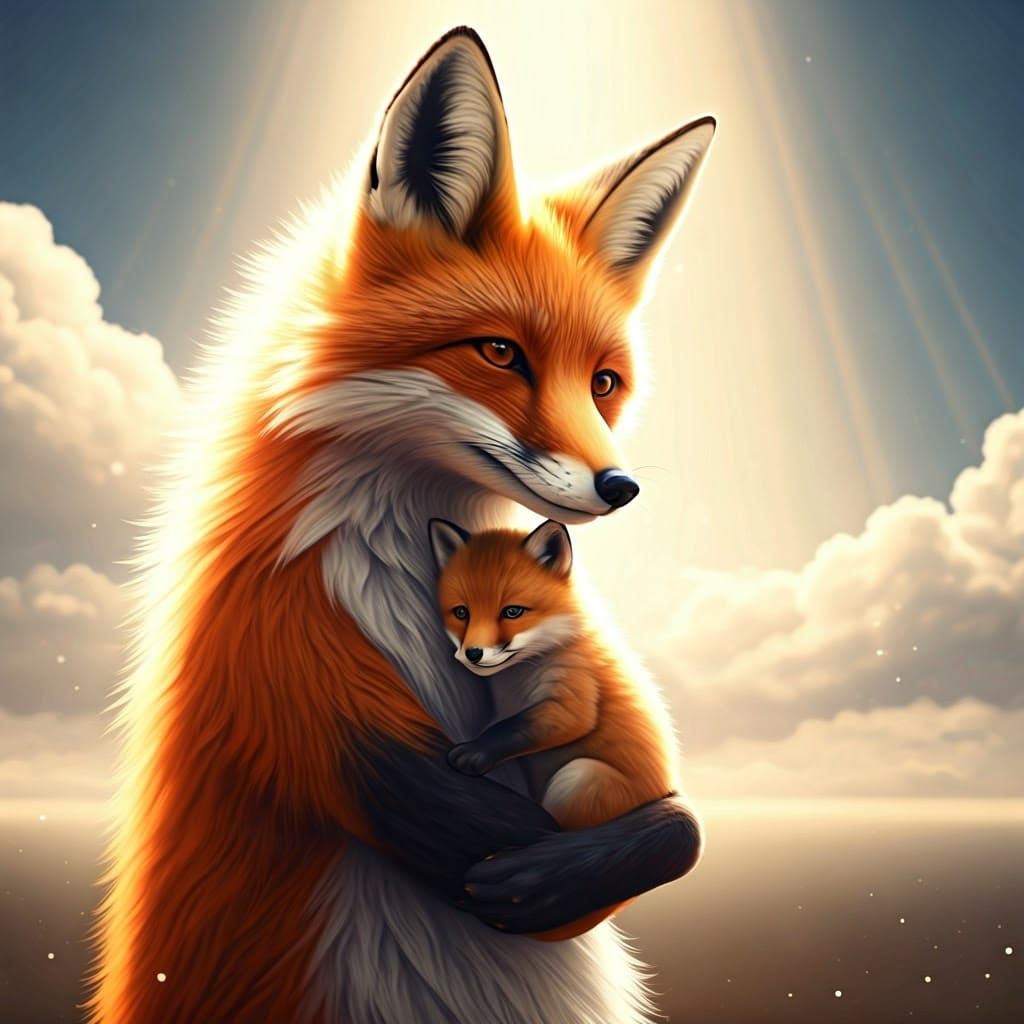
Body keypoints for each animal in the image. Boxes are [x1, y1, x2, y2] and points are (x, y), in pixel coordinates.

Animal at [431, 518, 678, 940]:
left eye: (512, 611)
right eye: (461, 612)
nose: (474, 654)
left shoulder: (571, 703)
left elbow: (511, 727)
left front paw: (473, 753)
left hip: (580, 776)